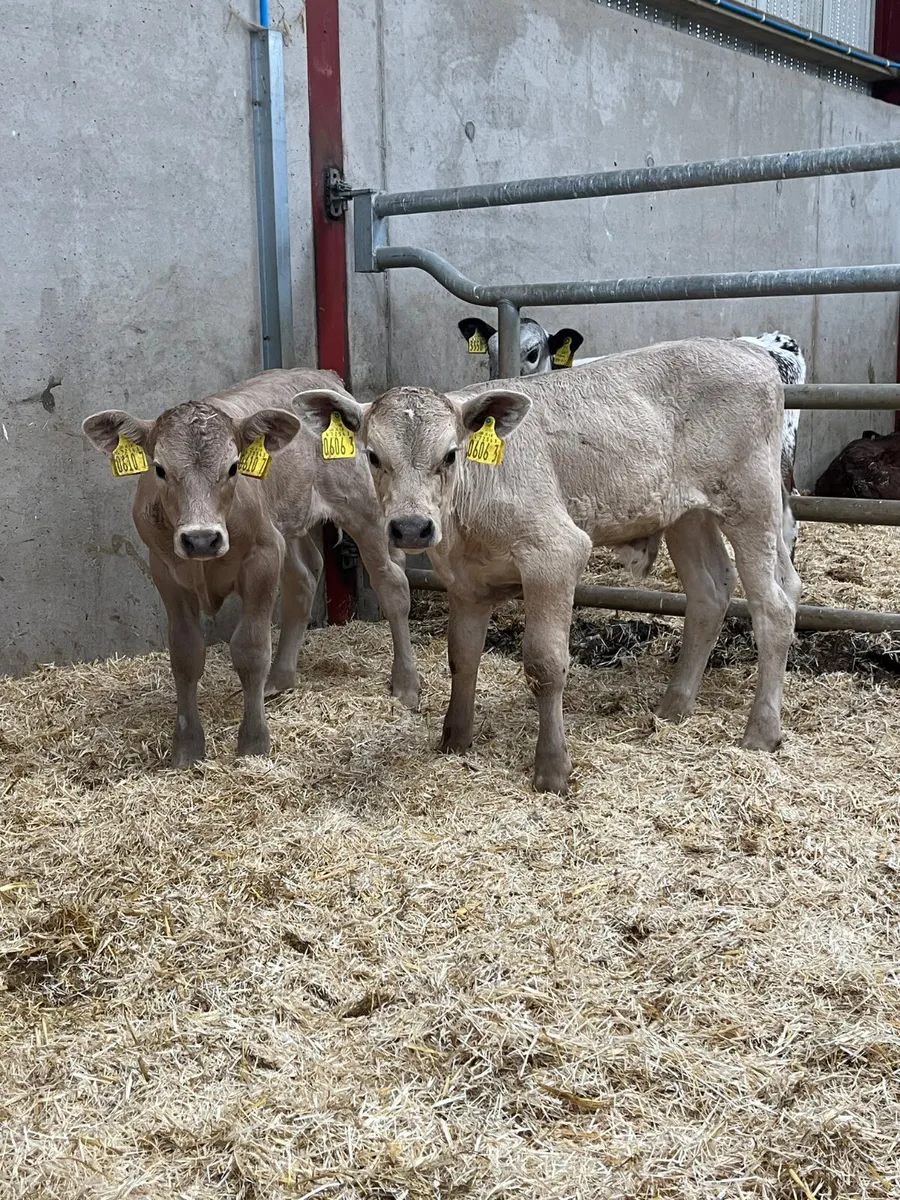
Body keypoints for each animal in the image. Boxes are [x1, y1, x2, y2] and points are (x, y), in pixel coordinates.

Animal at [83, 369, 420, 768]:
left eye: (232, 468)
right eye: (160, 469)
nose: (201, 539)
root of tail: (322, 376)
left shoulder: (263, 557)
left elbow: (251, 649)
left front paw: (253, 743)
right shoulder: (165, 570)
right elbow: (185, 654)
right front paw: (187, 748)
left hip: (362, 509)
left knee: (392, 584)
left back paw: (406, 684)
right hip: (288, 524)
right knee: (303, 581)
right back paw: (280, 679)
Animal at [294, 338, 801, 795]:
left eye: (451, 454)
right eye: (373, 456)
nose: (412, 528)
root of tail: (748, 351)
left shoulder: (555, 553)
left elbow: (545, 662)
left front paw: (552, 769)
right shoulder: (463, 580)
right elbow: (462, 655)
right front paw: (455, 739)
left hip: (751, 500)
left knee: (774, 607)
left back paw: (761, 731)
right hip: (687, 515)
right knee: (711, 592)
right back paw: (673, 707)